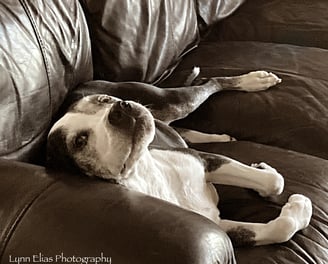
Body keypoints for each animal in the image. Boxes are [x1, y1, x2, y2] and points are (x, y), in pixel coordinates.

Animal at [47, 70, 312, 248]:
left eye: (103, 101)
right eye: (79, 141)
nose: (119, 109)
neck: (143, 173)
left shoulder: (205, 161)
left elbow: (273, 181)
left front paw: (267, 174)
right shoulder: (217, 227)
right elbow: (280, 227)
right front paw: (299, 207)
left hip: (172, 101)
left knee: (209, 84)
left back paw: (253, 82)